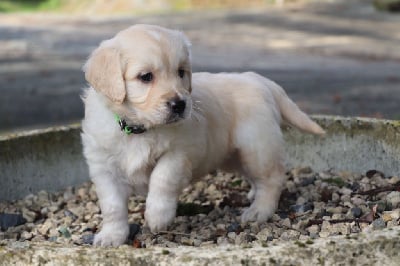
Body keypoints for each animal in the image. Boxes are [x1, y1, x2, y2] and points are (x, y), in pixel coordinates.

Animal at [81, 23, 324, 246]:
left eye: (181, 72)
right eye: (146, 77)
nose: (179, 104)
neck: (139, 128)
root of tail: (259, 79)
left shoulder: (181, 152)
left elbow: (162, 177)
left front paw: (158, 216)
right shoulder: (104, 168)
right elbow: (112, 206)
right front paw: (111, 236)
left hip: (257, 147)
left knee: (272, 179)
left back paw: (259, 210)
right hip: (235, 156)